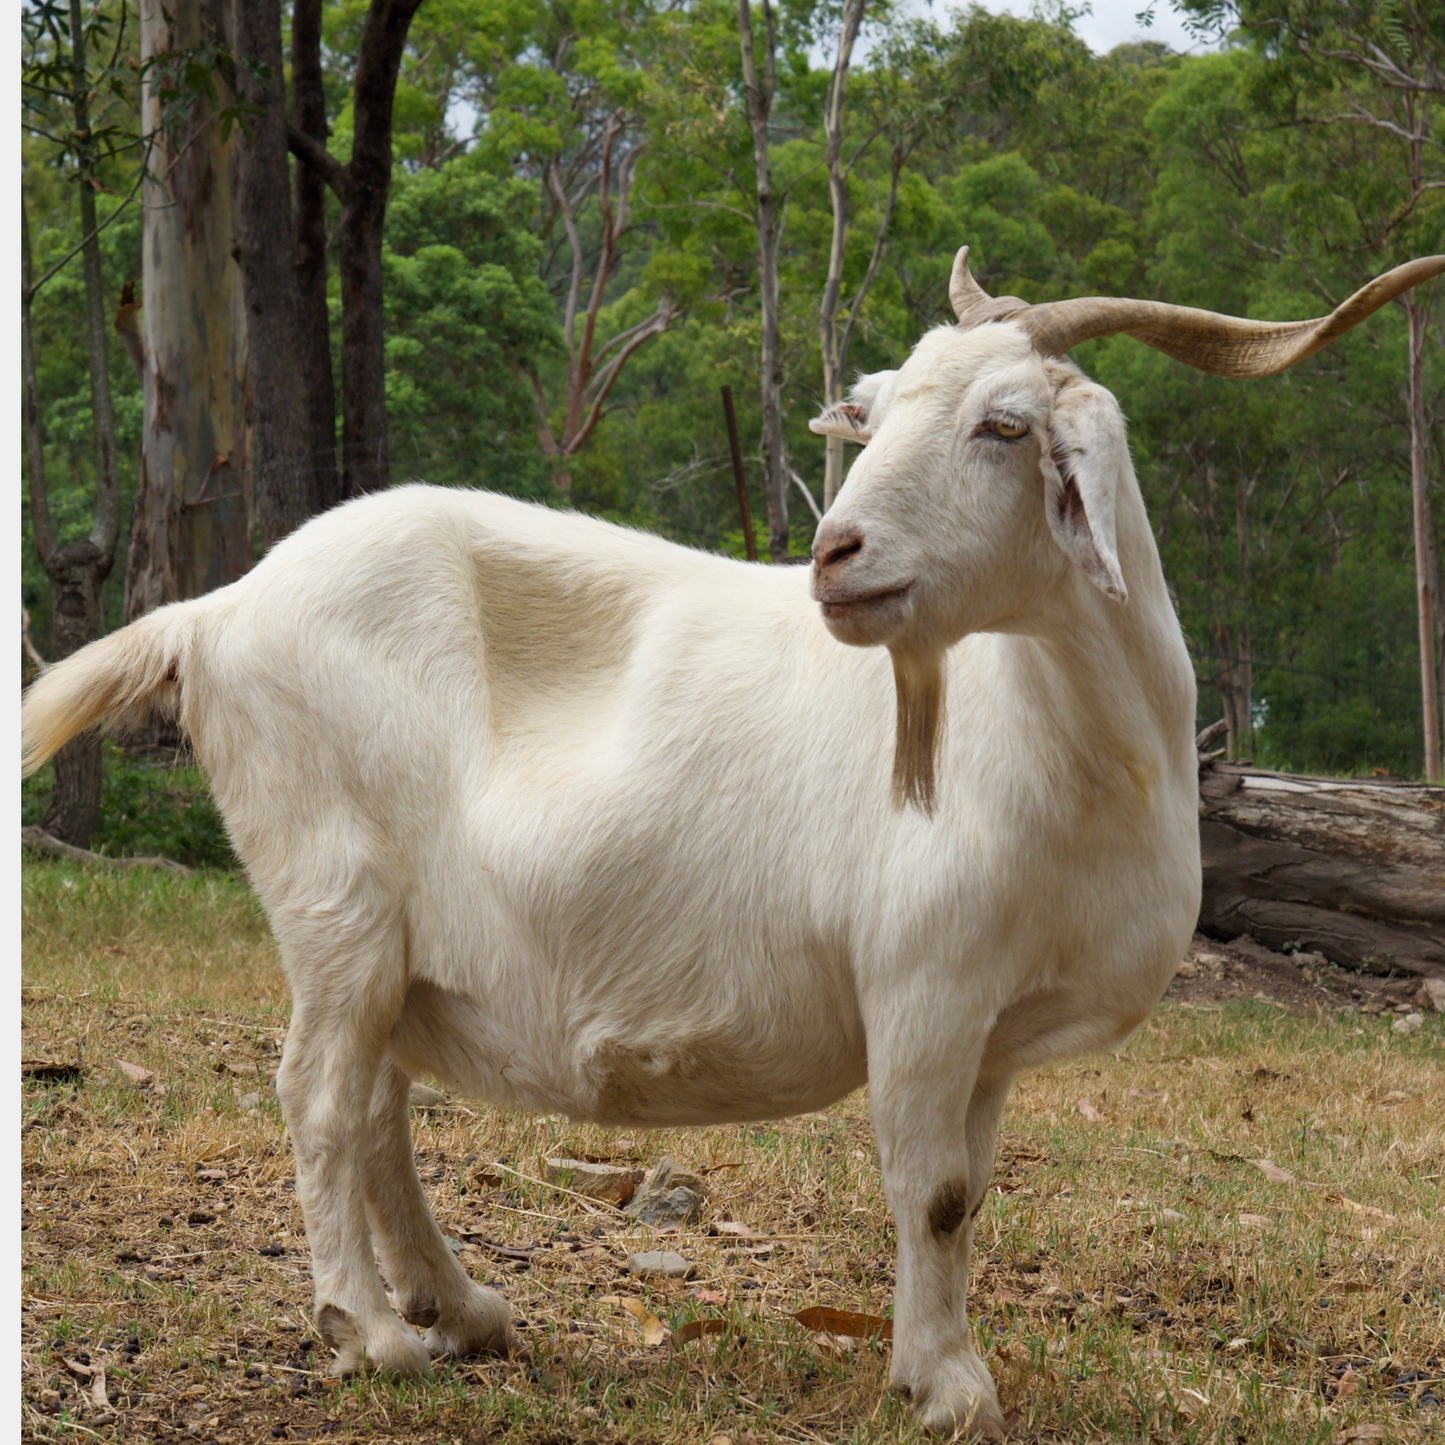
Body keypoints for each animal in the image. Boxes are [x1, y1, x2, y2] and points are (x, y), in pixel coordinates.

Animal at [22, 247, 1442, 1437]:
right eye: (880, 411)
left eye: (1003, 424)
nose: (834, 554)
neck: (1068, 748)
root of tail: (216, 610)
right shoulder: (921, 985)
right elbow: (929, 1189)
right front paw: (946, 1385)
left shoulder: (987, 1028)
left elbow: (968, 1190)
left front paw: (928, 1359)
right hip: (335, 893)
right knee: (321, 1092)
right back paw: (369, 1332)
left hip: (391, 939)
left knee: (375, 1101)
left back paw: (461, 1308)